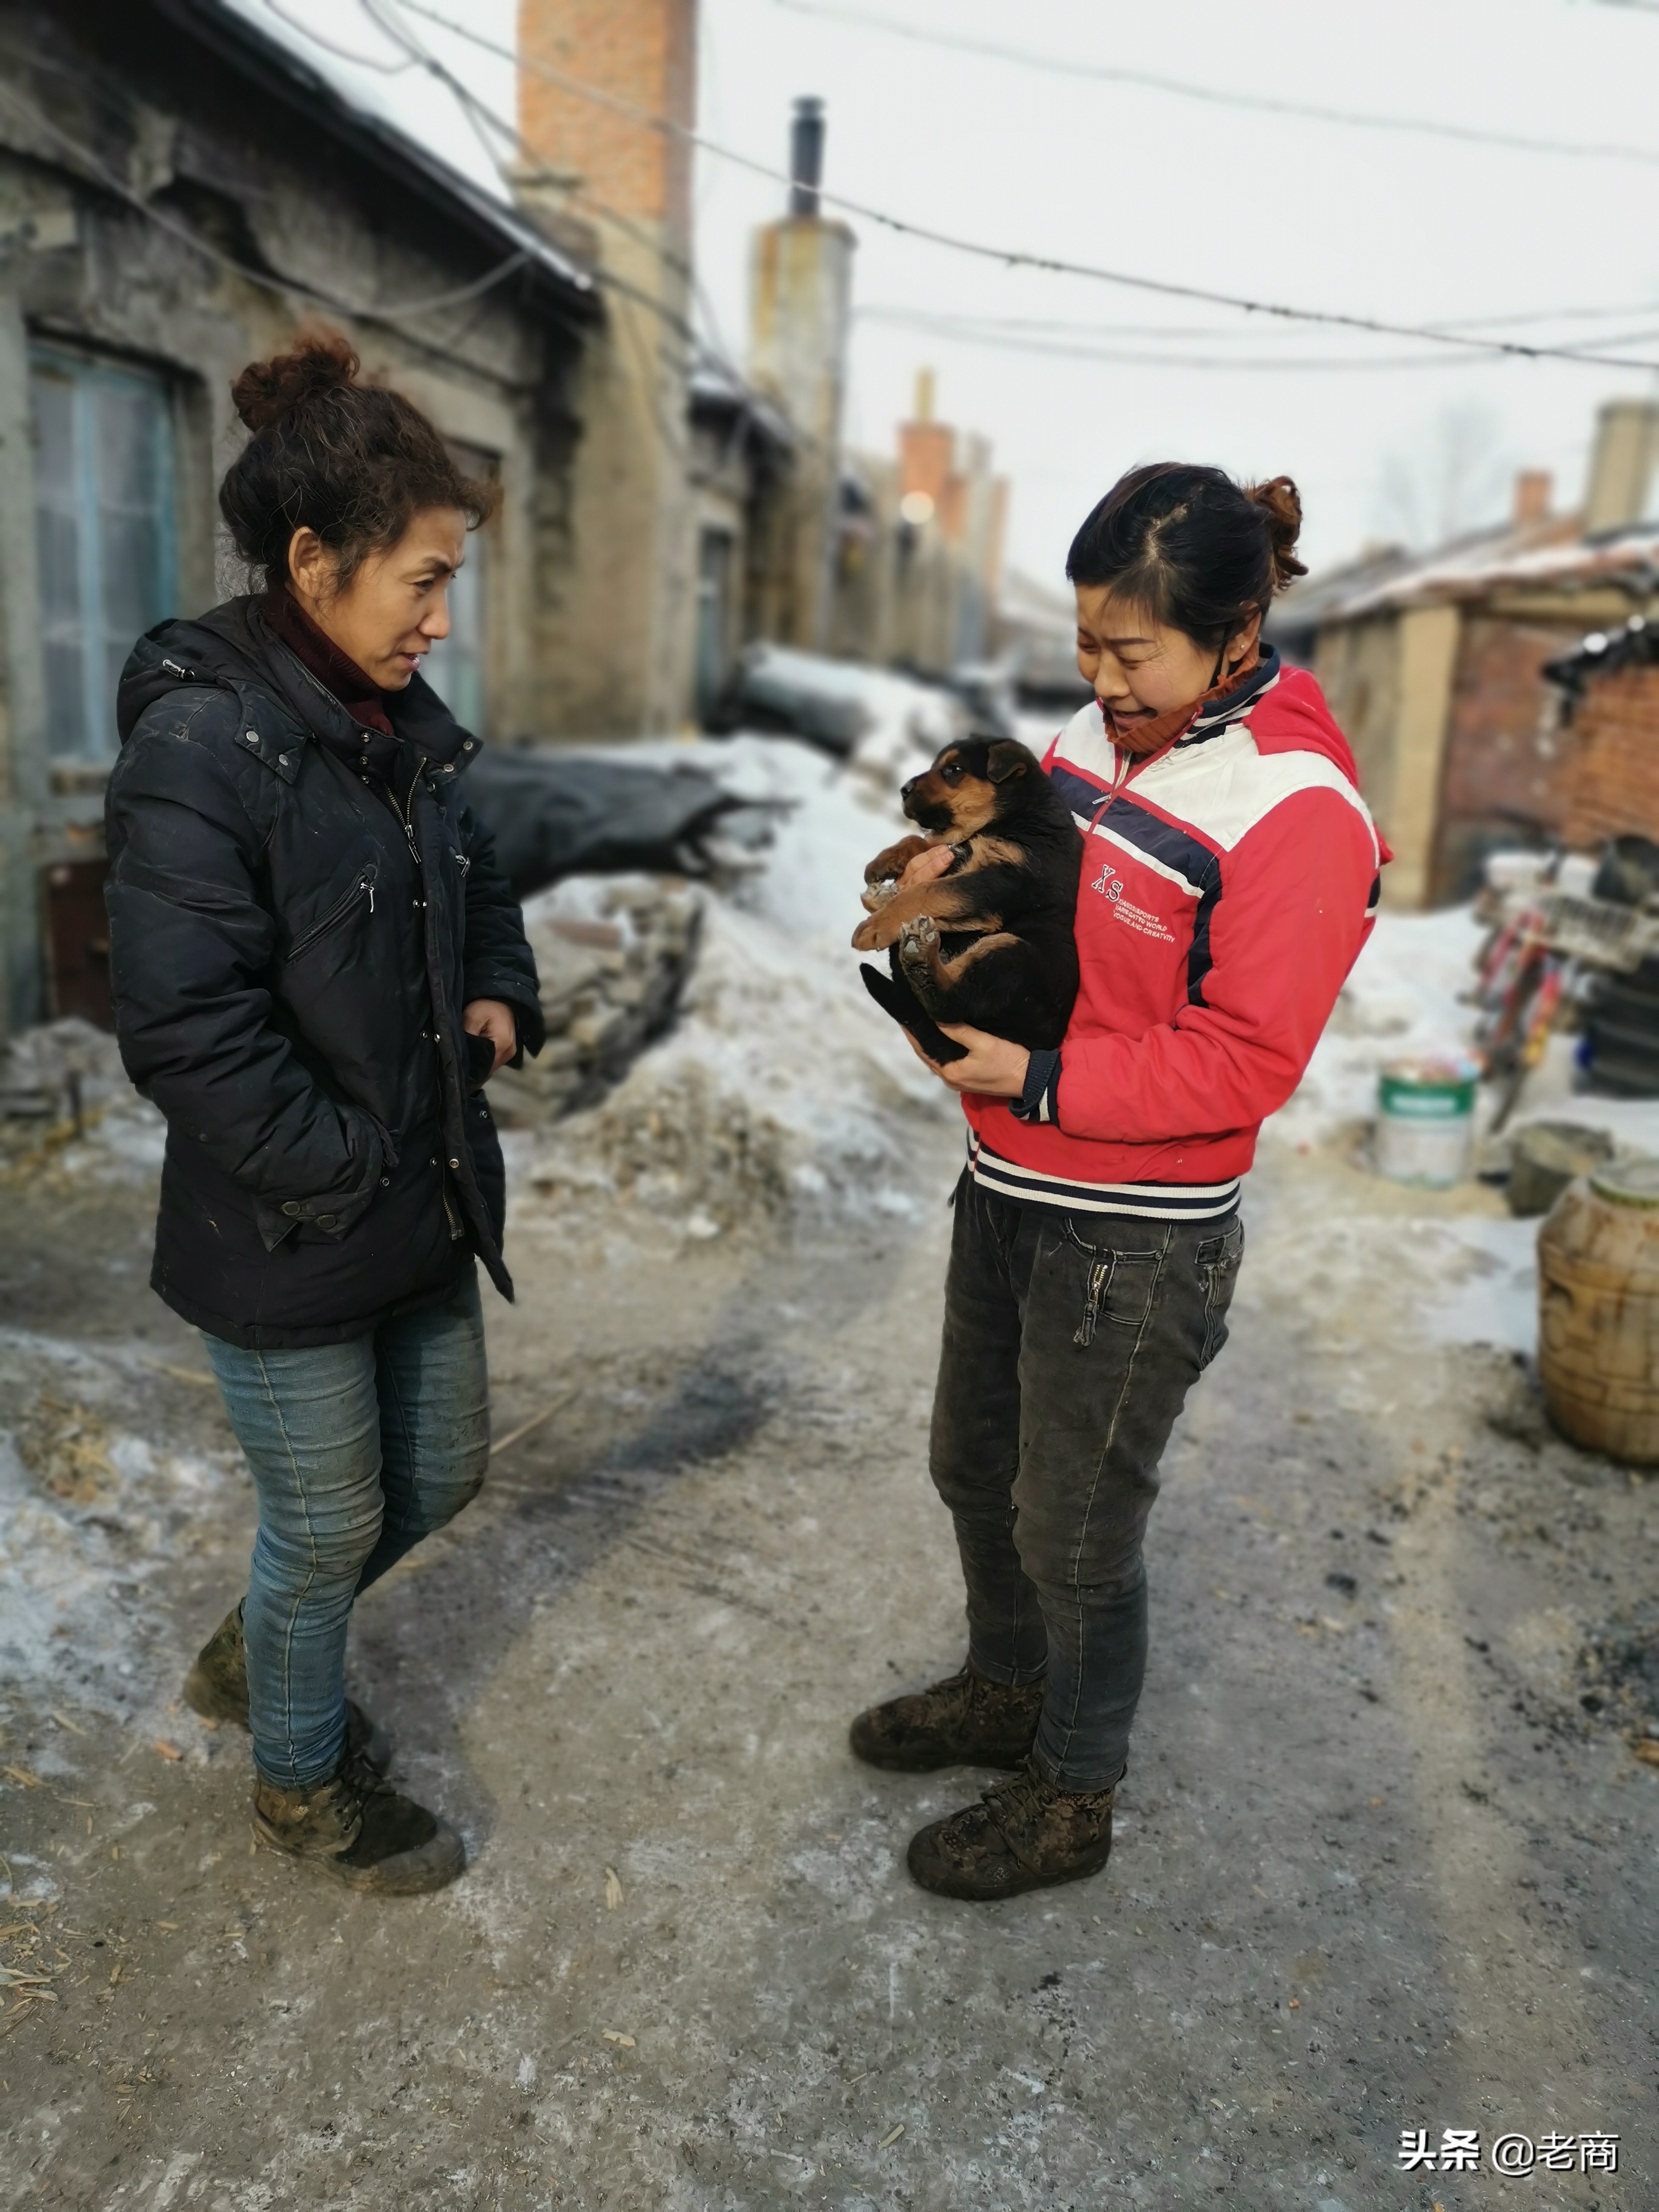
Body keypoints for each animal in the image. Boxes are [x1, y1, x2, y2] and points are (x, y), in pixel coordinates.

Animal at [849, 734, 1084, 1061]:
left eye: (954, 770)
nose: (903, 789)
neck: (1016, 814)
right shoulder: (959, 853)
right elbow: (921, 842)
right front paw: (883, 863)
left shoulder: (999, 879)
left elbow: (927, 891)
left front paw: (874, 927)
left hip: (1012, 957)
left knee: (949, 1002)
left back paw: (921, 958)